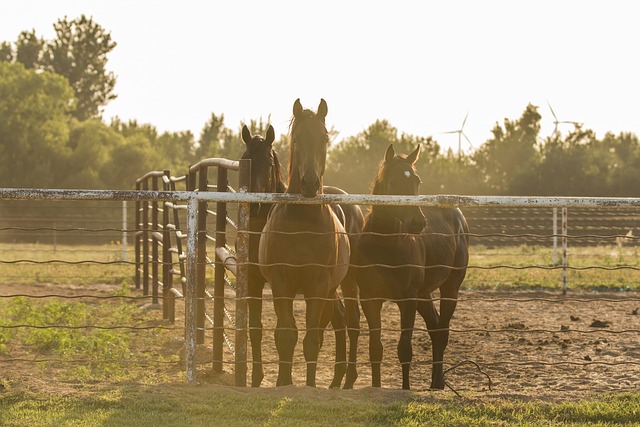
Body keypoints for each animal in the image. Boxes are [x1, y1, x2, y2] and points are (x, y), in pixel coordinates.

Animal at [240, 123, 362, 388]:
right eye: (245, 159)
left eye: (269, 162)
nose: (254, 204)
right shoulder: (255, 282)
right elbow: (257, 329)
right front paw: (257, 378)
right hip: (331, 287)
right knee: (339, 318)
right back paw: (336, 379)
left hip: (348, 280)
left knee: (352, 321)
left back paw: (348, 379)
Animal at [356, 145, 470, 392]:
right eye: (392, 181)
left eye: (417, 180)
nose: (418, 222)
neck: (385, 244)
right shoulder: (370, 299)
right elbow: (375, 349)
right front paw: (376, 387)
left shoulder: (407, 300)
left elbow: (404, 350)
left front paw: (406, 389)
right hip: (423, 294)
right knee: (435, 328)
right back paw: (437, 382)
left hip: (450, 289)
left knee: (442, 331)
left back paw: (438, 383)